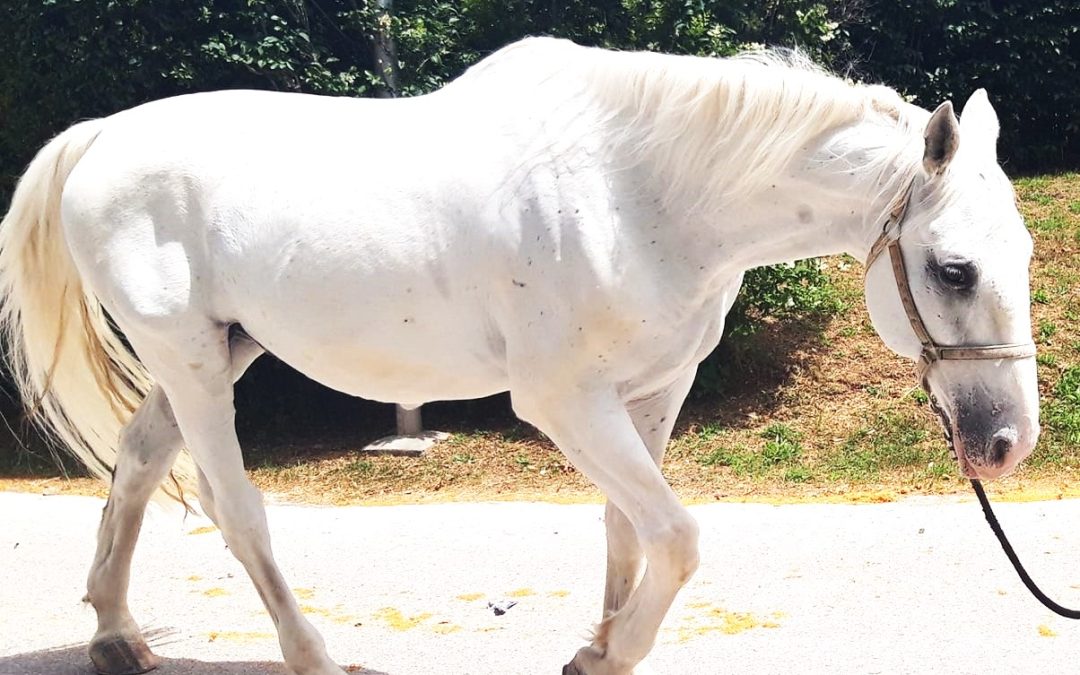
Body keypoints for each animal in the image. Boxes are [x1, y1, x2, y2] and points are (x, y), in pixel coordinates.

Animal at [4, 39, 1041, 673]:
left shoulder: (652, 390)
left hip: (218, 354)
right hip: (188, 362)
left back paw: (115, 633)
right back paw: (312, 652)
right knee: (235, 507)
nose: (1007, 444)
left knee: (138, 466)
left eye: (1026, 254)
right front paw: (606, 652)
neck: (639, 191)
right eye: (953, 269)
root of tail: (101, 138)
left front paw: (605, 641)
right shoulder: (564, 400)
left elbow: (629, 533)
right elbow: (676, 535)